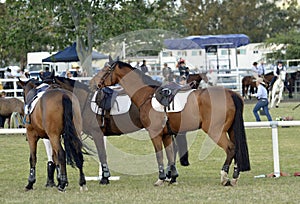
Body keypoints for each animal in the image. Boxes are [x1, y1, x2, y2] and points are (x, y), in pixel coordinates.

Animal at [91, 57, 251, 186]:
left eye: (105, 70)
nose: (92, 83)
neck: (147, 96)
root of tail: (230, 93)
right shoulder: (167, 135)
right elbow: (169, 154)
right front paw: (172, 177)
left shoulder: (154, 134)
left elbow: (160, 155)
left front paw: (161, 178)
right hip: (231, 130)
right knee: (236, 149)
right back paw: (235, 177)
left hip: (215, 131)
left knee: (230, 149)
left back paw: (224, 177)